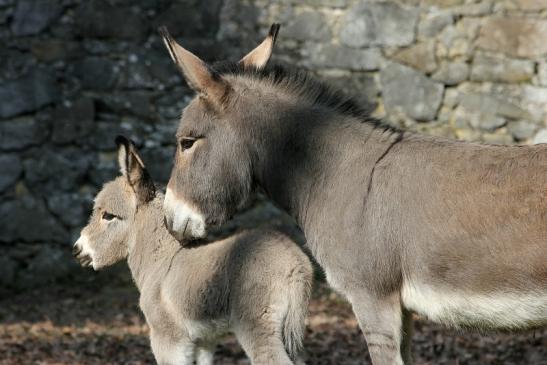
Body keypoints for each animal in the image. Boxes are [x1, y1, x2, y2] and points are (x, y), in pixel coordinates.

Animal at [73, 136, 312, 364]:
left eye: (108, 216)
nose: (77, 250)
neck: (161, 261)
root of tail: (296, 263)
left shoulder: (167, 338)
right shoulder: (206, 340)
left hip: (257, 323)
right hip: (291, 333)